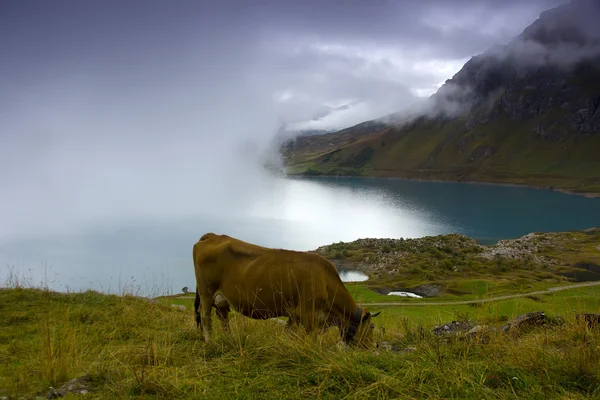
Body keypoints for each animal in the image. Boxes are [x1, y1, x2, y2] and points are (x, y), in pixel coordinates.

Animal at [192, 233, 380, 346]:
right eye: (371, 327)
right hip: (206, 292)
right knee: (205, 315)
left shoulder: (294, 316)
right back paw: (209, 342)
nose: (374, 346)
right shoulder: (307, 315)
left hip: (221, 297)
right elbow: (308, 339)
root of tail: (213, 236)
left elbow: (289, 334)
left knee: (222, 315)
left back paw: (230, 339)